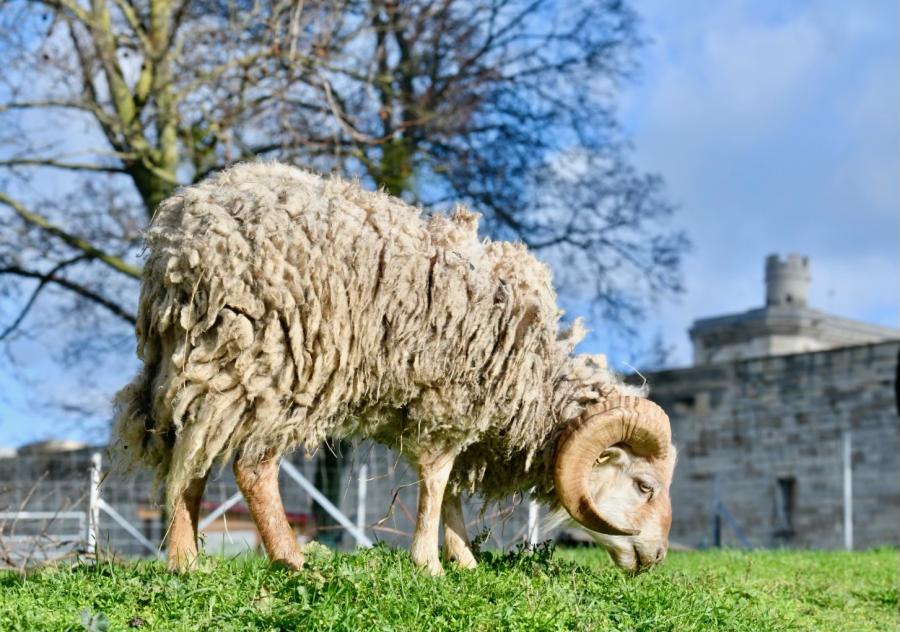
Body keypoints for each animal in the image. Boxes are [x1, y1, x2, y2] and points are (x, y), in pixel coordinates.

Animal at [112, 162, 676, 572]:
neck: (533, 381)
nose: (656, 557)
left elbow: (450, 489)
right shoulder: (451, 398)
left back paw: (185, 562)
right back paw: (293, 561)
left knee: (187, 452)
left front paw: (464, 560)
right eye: (644, 486)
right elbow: (436, 479)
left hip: (200, 362)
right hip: (274, 357)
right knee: (251, 466)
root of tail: (179, 241)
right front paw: (430, 564)